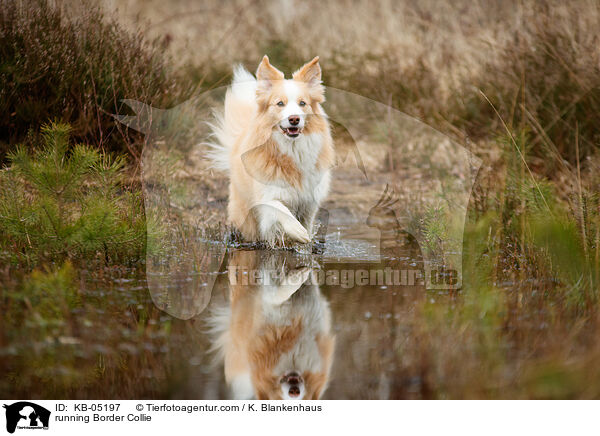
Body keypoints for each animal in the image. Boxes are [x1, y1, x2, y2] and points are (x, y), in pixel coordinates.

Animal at [209, 55, 336, 245]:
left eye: (303, 103)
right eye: (280, 103)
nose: (294, 119)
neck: (292, 149)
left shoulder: (309, 203)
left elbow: (305, 223)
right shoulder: (267, 195)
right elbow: (280, 208)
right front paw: (297, 231)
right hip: (246, 218)